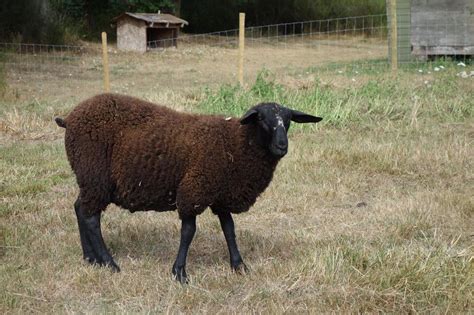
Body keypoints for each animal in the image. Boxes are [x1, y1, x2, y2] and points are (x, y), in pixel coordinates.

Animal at [55, 92, 322, 282]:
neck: (235, 145)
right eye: (263, 121)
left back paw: (90, 258)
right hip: (94, 175)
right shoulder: (194, 190)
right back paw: (109, 263)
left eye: (288, 122)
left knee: (81, 209)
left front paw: (239, 265)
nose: (281, 146)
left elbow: (229, 229)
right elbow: (188, 232)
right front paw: (179, 272)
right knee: (91, 218)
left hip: (89, 179)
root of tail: (69, 118)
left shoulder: (220, 194)